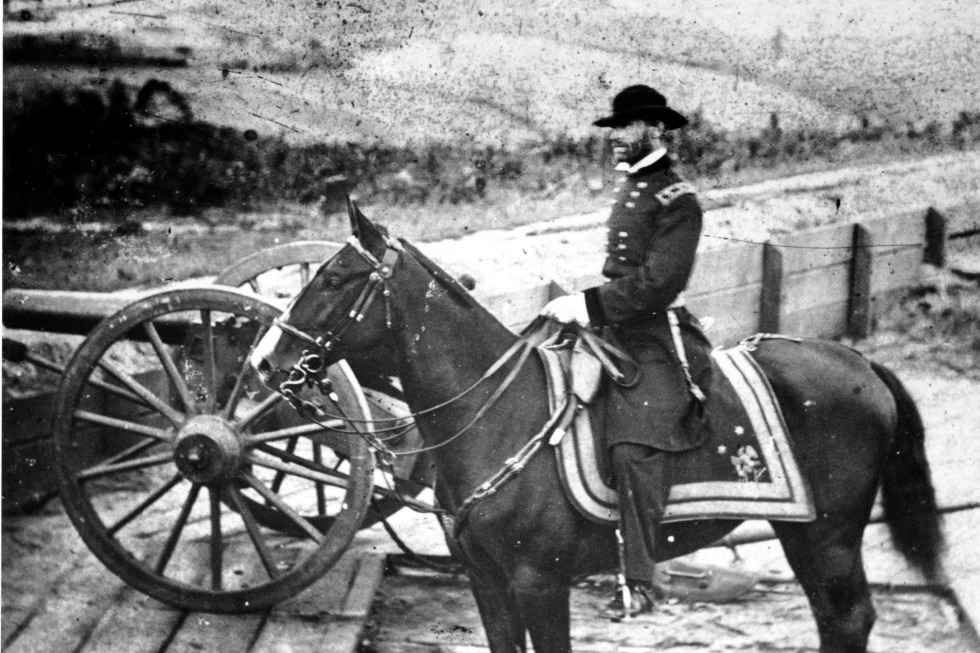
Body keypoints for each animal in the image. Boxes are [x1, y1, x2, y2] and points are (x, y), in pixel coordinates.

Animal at [251, 208, 940, 652]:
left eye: (332, 279)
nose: (262, 361)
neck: (499, 416)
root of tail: (861, 363)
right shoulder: (486, 581)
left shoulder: (540, 583)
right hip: (803, 532)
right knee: (836, 621)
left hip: (828, 536)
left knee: (849, 619)